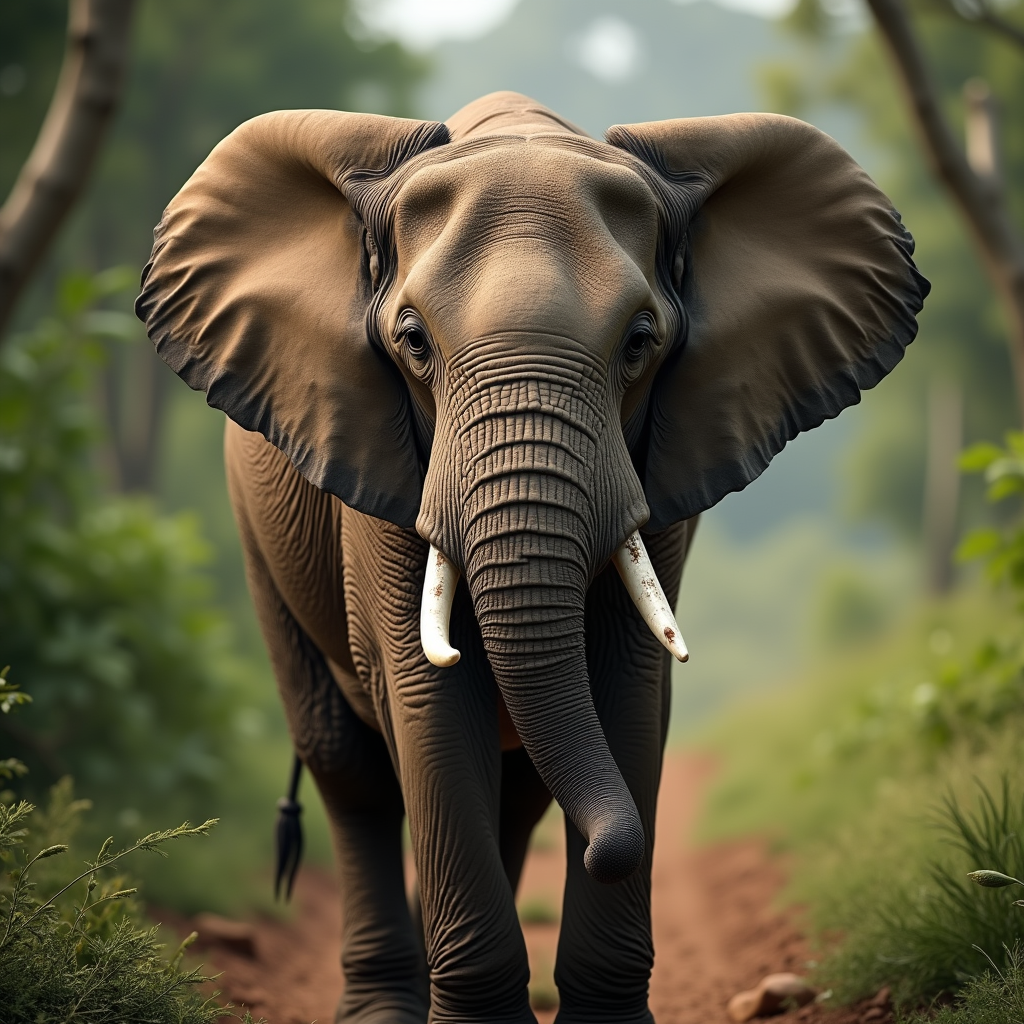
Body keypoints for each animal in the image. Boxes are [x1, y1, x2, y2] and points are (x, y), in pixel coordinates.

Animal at [136, 91, 928, 1024]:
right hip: (259, 535)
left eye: (639, 342)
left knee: (513, 792)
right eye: (412, 342)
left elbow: (627, 685)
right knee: (350, 768)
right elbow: (427, 692)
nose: (603, 849)